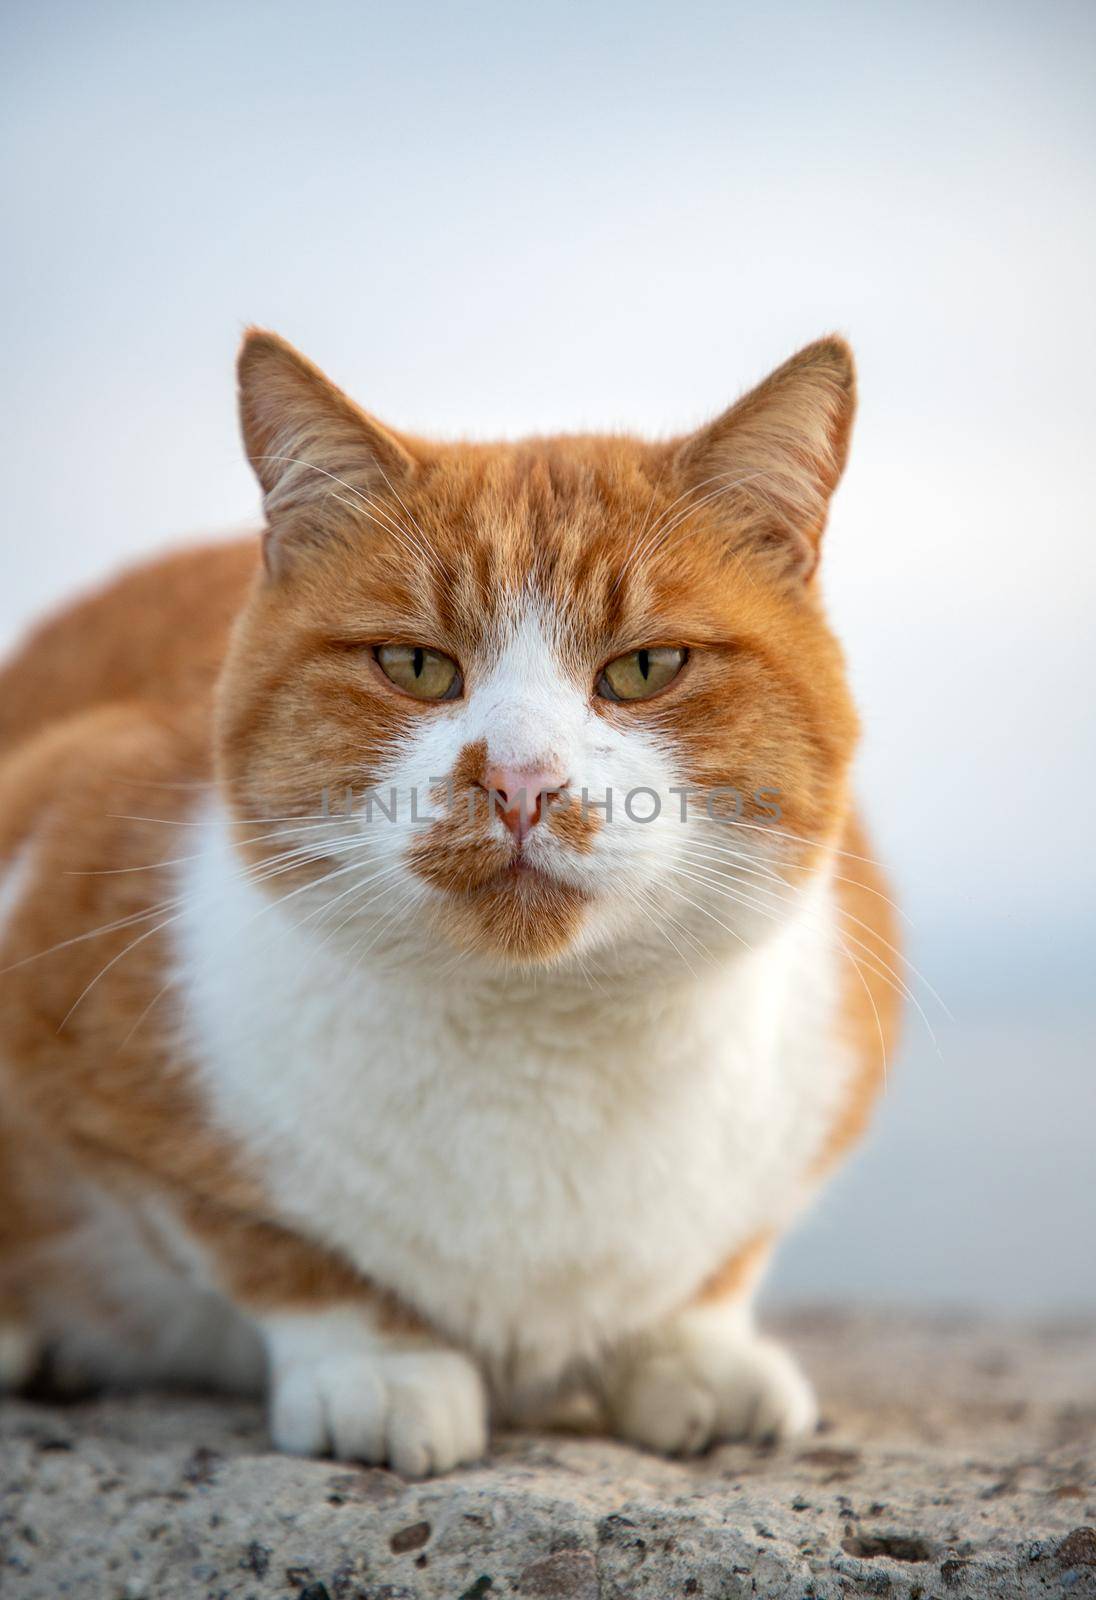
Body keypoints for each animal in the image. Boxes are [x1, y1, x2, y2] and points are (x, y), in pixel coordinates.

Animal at [0, 331, 896, 1478]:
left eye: (646, 667)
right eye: (416, 665)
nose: (519, 781)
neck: (542, 1042)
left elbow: (716, 1261)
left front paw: (691, 1350)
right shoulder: (60, 868)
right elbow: (270, 1246)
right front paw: (381, 1367)